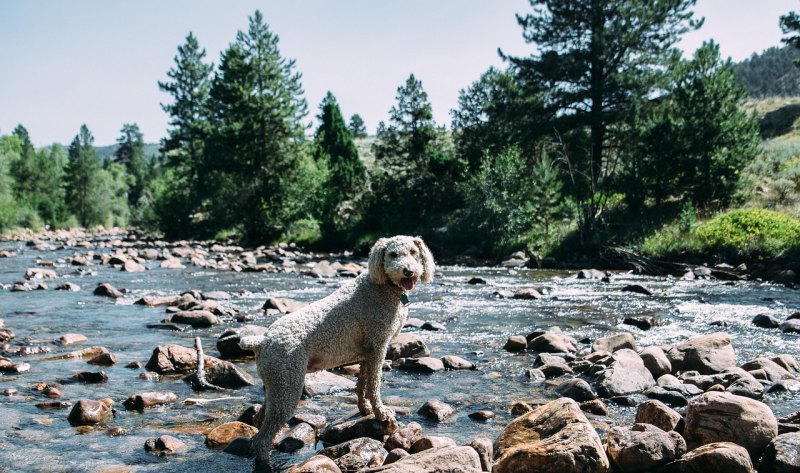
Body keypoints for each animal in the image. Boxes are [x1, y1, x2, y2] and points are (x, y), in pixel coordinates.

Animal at [241, 236, 434, 468]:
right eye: (393, 255)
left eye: (414, 252)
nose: (408, 271)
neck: (383, 287)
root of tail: (261, 340)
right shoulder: (378, 346)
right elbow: (374, 385)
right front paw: (381, 413)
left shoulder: (367, 352)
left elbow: (362, 384)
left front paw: (365, 409)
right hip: (288, 384)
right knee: (264, 437)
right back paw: (265, 463)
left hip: (276, 385)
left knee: (259, 419)